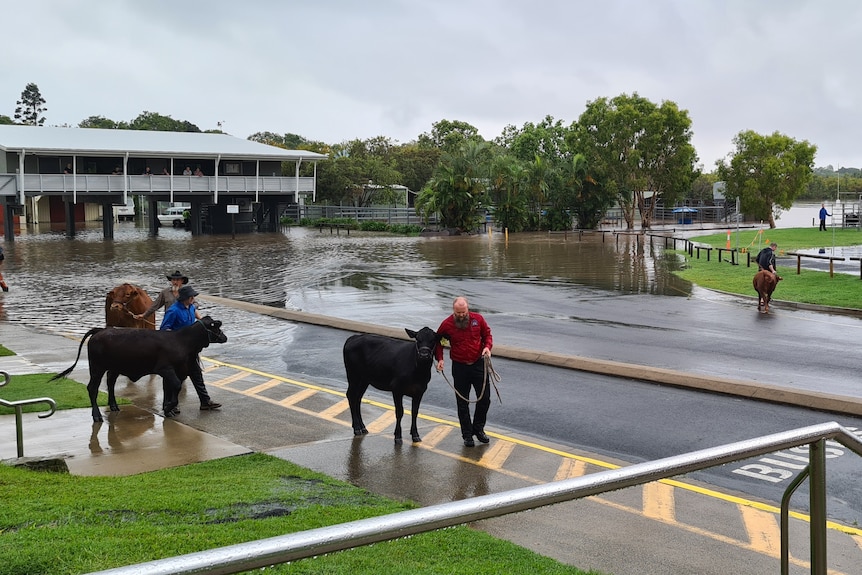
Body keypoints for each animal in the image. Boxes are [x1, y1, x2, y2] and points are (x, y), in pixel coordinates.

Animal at [49, 316, 228, 424]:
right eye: (216, 327)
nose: (225, 337)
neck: (183, 341)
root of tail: (101, 330)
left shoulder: (180, 370)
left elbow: (172, 388)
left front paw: (170, 409)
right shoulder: (166, 369)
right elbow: (176, 386)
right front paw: (168, 408)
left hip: (113, 367)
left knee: (110, 383)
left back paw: (114, 406)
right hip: (96, 368)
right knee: (92, 388)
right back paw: (97, 416)